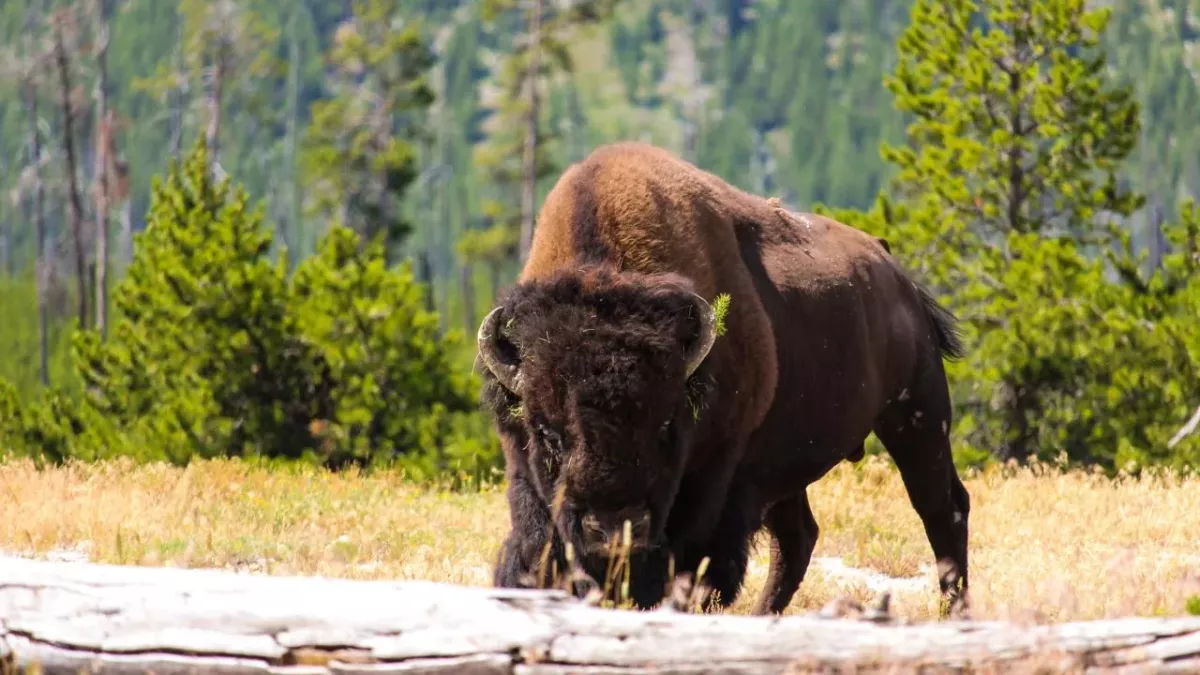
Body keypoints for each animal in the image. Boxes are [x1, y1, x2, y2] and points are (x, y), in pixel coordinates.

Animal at [476, 142, 970, 616]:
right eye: (547, 432)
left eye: (665, 425)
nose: (614, 530)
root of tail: (896, 273)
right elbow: (535, 548)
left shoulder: (718, 478)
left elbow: (695, 565)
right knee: (798, 537)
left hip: (917, 416)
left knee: (943, 509)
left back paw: (953, 612)